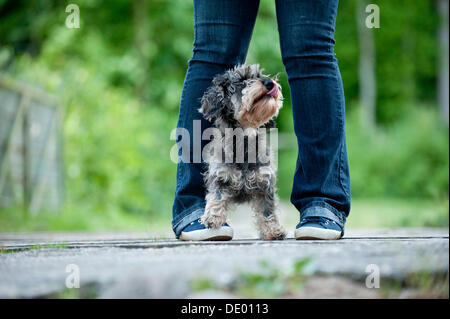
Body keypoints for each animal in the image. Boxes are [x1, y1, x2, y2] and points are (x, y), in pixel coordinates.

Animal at [199, 64, 286, 240]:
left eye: (259, 75)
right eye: (241, 81)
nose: (269, 82)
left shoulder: (265, 183)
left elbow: (267, 210)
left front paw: (273, 230)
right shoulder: (219, 176)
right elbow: (216, 196)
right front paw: (213, 217)